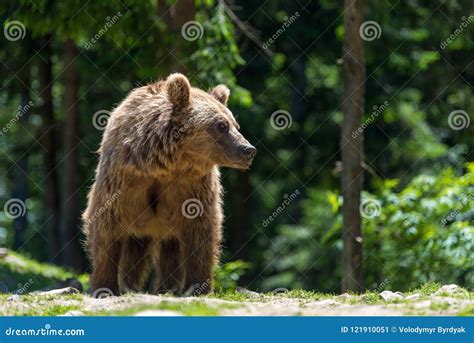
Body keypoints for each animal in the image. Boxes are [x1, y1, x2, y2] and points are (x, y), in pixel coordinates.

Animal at [83, 74, 258, 296]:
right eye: (222, 125)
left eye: (236, 124)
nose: (248, 150)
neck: (166, 166)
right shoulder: (123, 180)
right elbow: (106, 226)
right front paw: (105, 286)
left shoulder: (192, 187)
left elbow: (201, 233)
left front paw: (198, 286)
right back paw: (131, 286)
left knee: (169, 251)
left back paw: (167, 288)